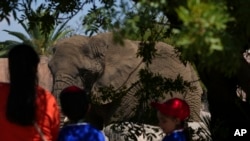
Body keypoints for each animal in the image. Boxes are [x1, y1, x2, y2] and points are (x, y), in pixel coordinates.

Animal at [48, 32, 203, 129]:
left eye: (84, 73)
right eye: (50, 69)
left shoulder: (132, 85)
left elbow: (114, 120)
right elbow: (92, 122)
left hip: (192, 92)